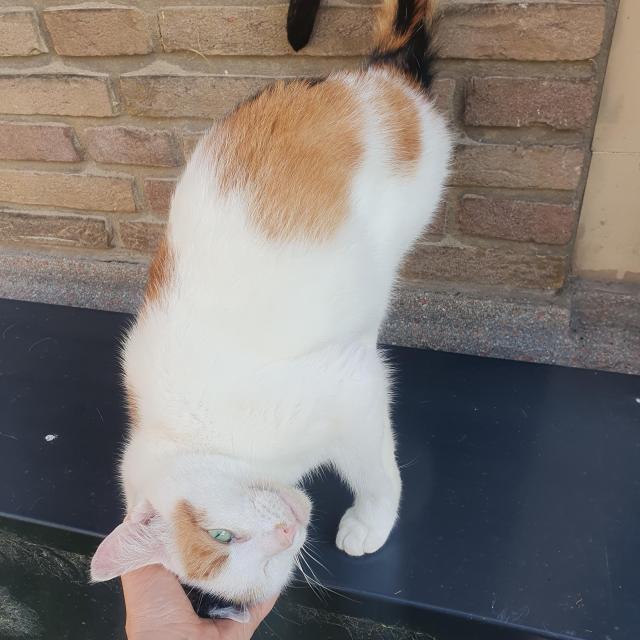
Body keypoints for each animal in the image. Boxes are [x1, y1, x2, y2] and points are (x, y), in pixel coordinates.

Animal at [90, 0, 452, 608]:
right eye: (265, 572)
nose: (286, 534)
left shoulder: (354, 392)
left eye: (220, 534)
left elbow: (376, 470)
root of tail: (377, 80)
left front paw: (371, 521)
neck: (201, 441)